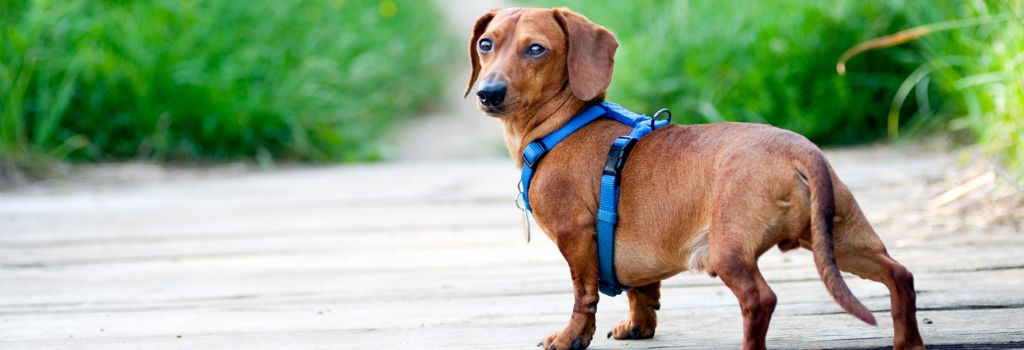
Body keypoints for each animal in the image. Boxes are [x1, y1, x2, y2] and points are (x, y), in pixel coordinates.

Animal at [468, 8, 925, 350]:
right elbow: (641, 291)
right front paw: (638, 326)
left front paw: (570, 338)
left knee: (760, 300)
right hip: (842, 241)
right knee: (900, 276)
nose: (488, 93)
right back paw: (909, 343)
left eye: (536, 49)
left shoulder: (576, 237)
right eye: (486, 44)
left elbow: (584, 296)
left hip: (730, 251)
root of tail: (799, 150)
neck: (564, 123)